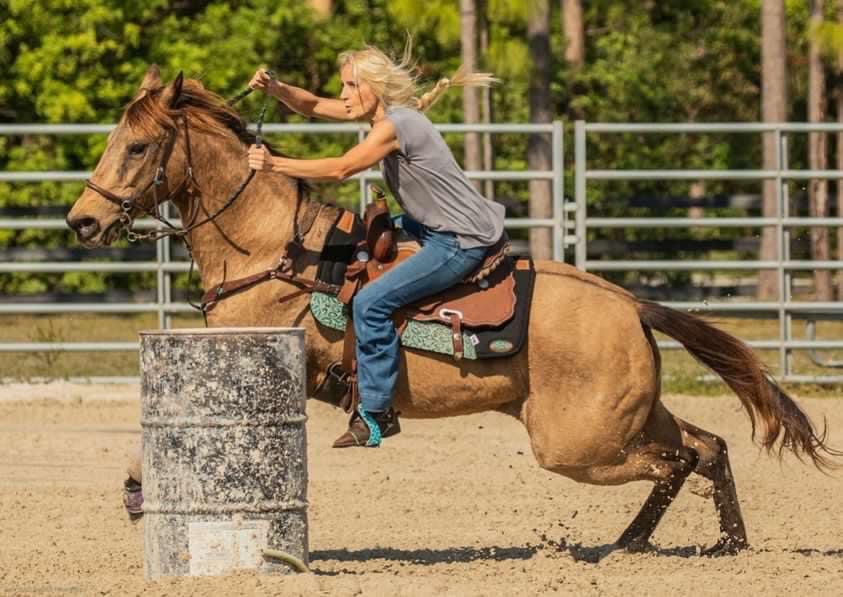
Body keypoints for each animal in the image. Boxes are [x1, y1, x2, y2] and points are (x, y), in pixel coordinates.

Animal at [64, 66, 836, 556]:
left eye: (137, 146)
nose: (82, 221)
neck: (271, 247)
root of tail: (629, 303)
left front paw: (138, 490)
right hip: (625, 417)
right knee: (707, 447)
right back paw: (700, 543)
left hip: (577, 441)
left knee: (676, 459)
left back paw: (632, 545)